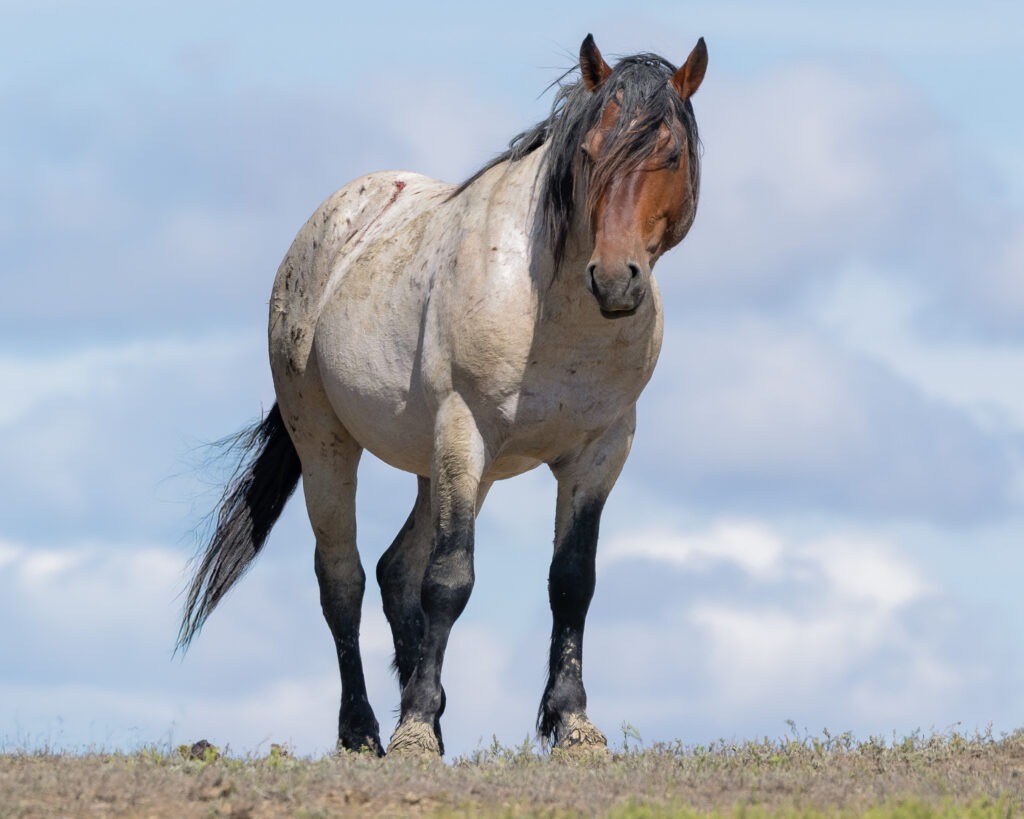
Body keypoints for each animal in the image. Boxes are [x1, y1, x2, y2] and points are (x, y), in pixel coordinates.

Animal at [178, 33, 708, 757]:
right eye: (590, 153)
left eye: (670, 154)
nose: (614, 278)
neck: (551, 309)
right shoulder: (464, 431)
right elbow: (450, 580)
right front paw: (416, 730)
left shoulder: (601, 450)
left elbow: (571, 581)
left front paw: (571, 722)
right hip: (329, 445)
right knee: (342, 579)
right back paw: (363, 729)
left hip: (440, 468)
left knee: (394, 570)